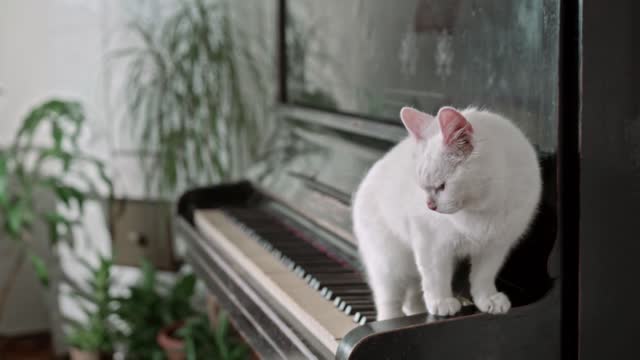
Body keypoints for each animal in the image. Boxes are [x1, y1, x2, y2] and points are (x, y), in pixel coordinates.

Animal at [352, 105, 544, 320]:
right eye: (423, 187)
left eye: (442, 186)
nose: (430, 206)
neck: (483, 207)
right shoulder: (432, 244)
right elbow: (436, 278)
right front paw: (441, 303)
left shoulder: (495, 246)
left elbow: (483, 276)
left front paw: (487, 300)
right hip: (390, 264)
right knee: (389, 302)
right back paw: (394, 317)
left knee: (411, 299)